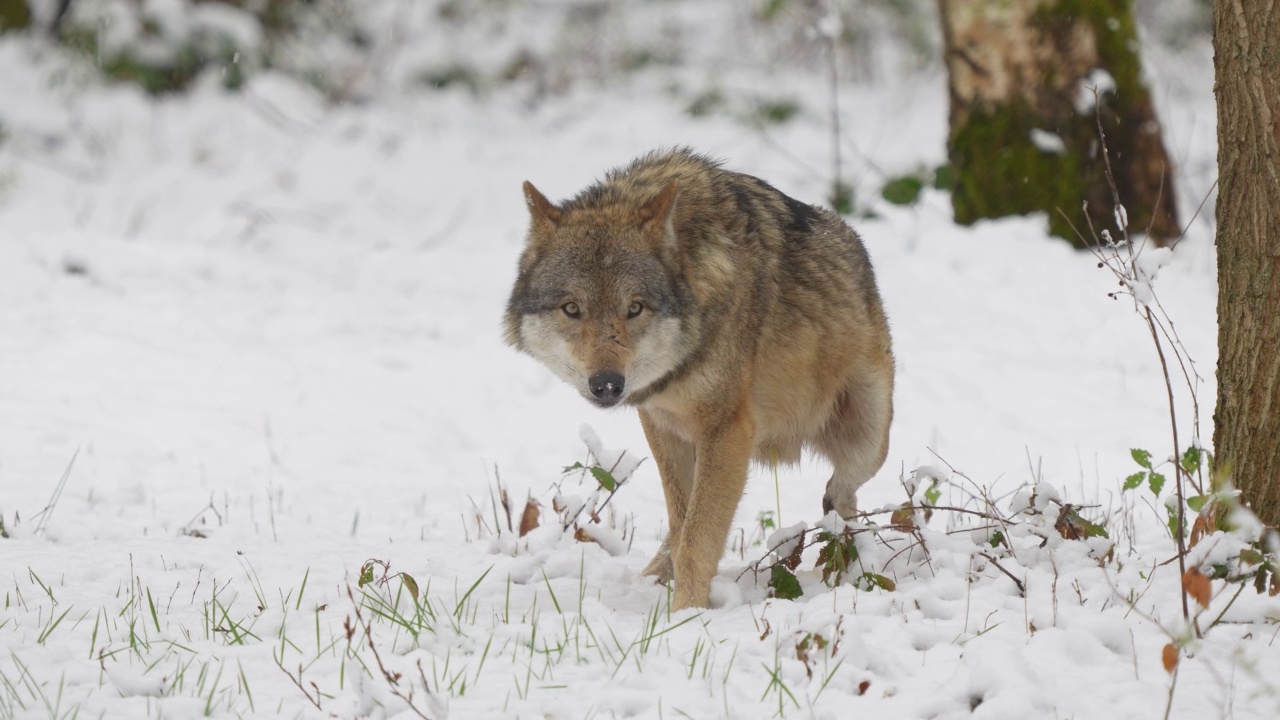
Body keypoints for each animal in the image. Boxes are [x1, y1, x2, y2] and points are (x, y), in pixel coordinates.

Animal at [499, 148, 890, 607]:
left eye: (635, 308)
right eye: (571, 309)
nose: (608, 384)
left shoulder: (727, 432)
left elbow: (696, 541)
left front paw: (685, 613)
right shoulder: (662, 423)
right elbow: (682, 525)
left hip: (867, 439)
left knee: (840, 495)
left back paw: (846, 561)